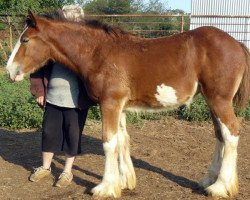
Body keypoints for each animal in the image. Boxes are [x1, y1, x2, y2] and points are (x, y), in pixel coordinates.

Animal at [5, 10, 250, 198]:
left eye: (25, 40)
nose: (9, 71)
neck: (98, 53)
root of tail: (237, 43)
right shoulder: (119, 106)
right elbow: (122, 140)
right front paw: (123, 182)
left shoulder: (110, 103)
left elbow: (109, 142)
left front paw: (105, 187)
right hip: (211, 101)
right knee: (220, 135)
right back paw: (208, 180)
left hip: (219, 100)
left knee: (231, 133)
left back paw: (220, 187)